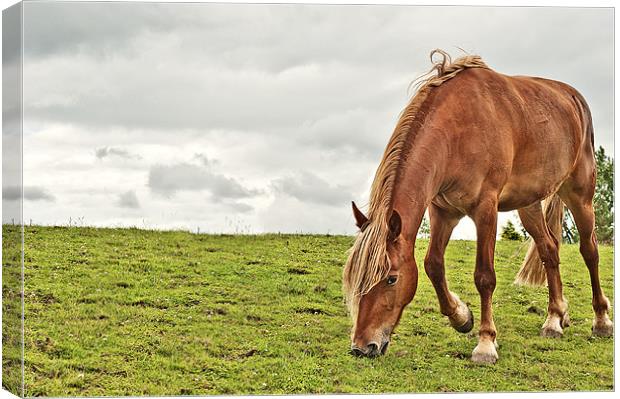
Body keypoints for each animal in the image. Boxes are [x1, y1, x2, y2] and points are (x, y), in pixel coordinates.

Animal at [342, 50, 612, 366]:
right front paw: (462, 317)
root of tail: (573, 97)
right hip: (529, 204)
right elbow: (433, 266)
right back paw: (554, 319)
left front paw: (485, 343)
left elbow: (484, 277)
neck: (456, 131)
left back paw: (601, 321)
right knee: (549, 250)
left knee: (590, 251)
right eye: (355, 278)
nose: (362, 346)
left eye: (391, 279)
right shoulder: (442, 212)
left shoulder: (485, 210)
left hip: (580, 195)